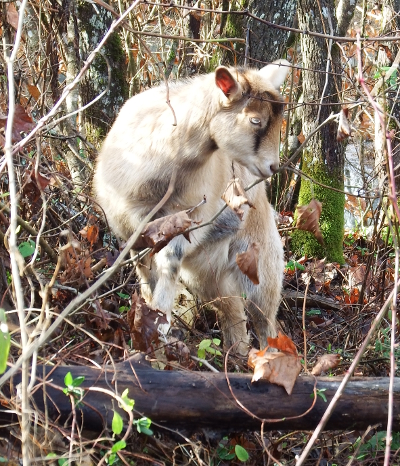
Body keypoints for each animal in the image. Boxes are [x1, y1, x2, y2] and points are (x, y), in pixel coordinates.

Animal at [95, 60, 290, 354]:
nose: (273, 167)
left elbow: (167, 267)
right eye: (255, 120)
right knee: (232, 308)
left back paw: (269, 357)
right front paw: (149, 320)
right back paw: (238, 353)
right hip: (207, 271)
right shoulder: (132, 232)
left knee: (264, 317)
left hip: (260, 262)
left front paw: (159, 325)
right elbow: (146, 278)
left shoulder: (187, 223)